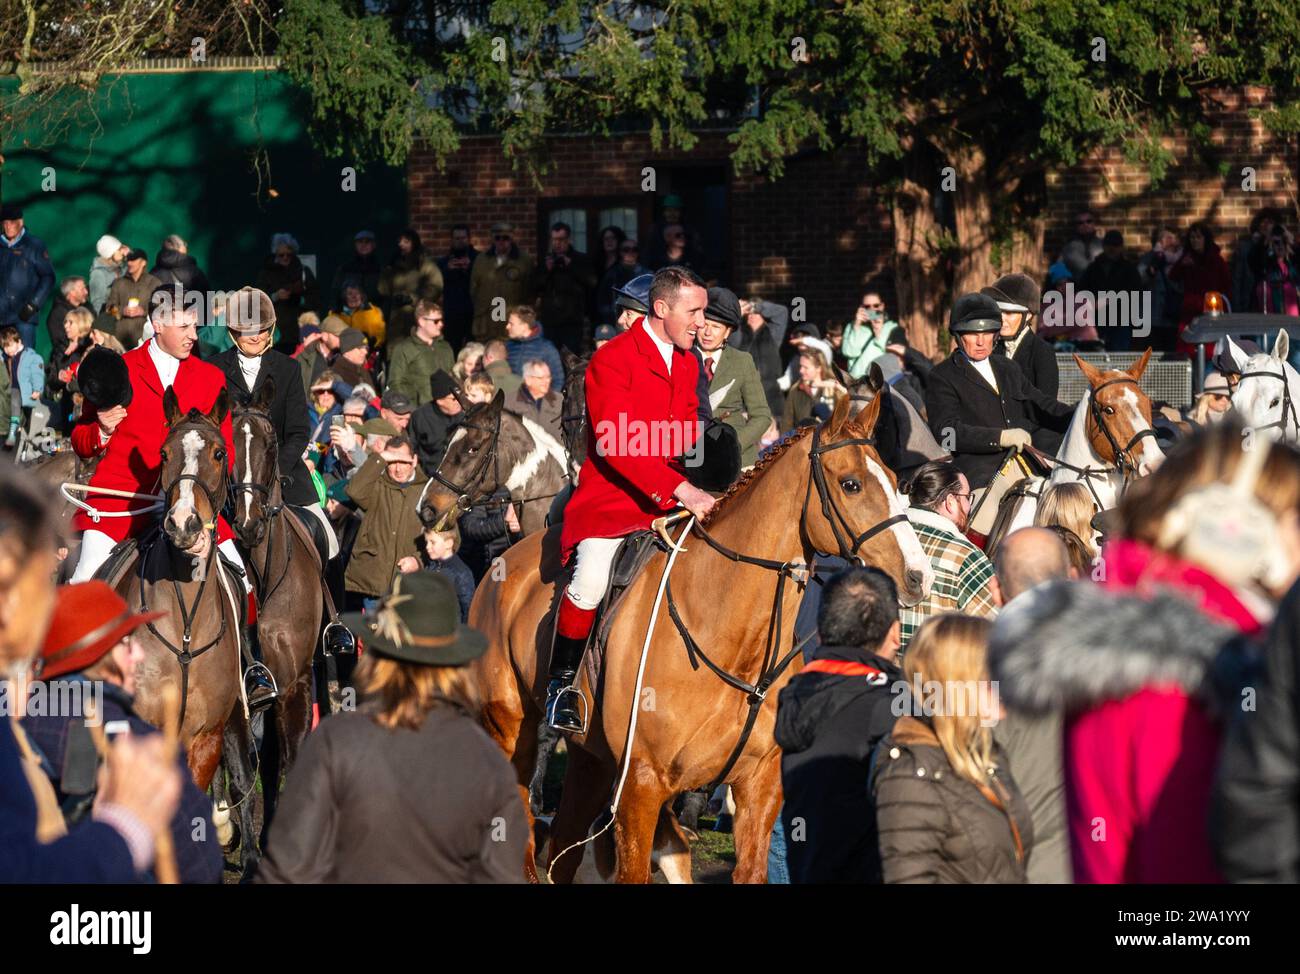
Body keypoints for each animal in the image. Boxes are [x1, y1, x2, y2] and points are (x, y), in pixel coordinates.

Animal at [428, 390, 935, 879]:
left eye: (897, 481)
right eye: (851, 484)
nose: (918, 576)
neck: (733, 637)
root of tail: (507, 559)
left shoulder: (760, 786)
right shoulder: (641, 786)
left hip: (592, 758)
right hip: (511, 731)